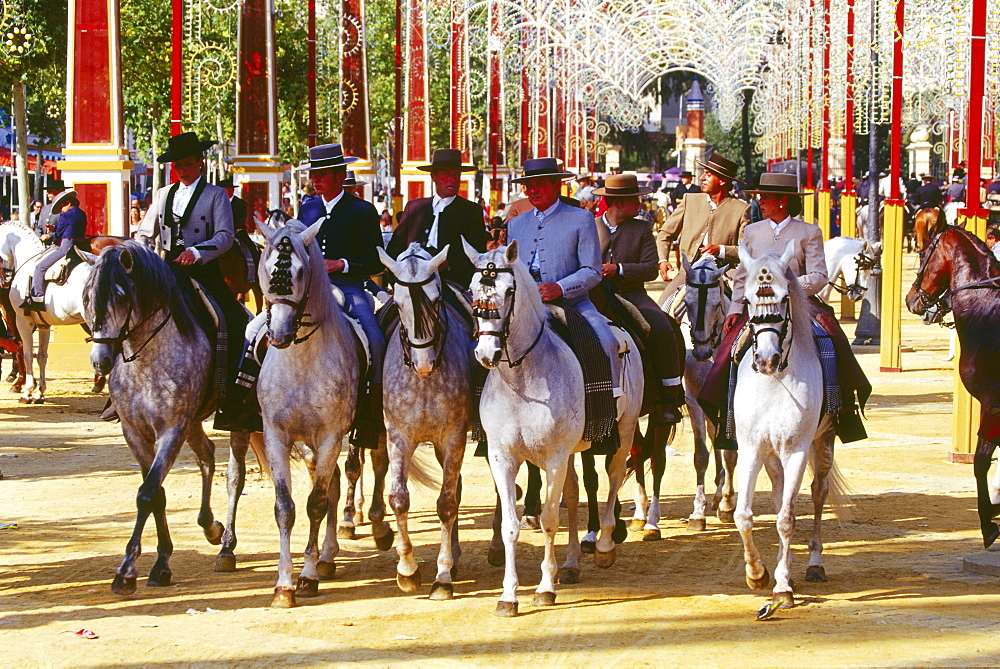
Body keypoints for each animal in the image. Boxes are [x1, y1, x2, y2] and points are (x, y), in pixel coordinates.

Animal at [0, 224, 93, 402]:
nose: (5, 279)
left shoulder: (22, 320)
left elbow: (27, 353)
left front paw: (27, 391)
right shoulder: (43, 325)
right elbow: (42, 356)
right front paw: (39, 392)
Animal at [83, 241, 254, 596]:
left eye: (121, 296)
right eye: (87, 297)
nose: (100, 361)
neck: (145, 361)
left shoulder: (171, 430)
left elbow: (147, 493)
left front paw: (127, 572)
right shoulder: (135, 433)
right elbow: (156, 494)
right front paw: (161, 563)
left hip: (236, 422)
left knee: (235, 476)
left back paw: (226, 547)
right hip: (193, 424)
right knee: (207, 456)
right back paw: (211, 527)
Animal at [378, 243, 472, 596]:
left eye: (436, 299)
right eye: (399, 303)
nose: (423, 363)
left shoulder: (454, 437)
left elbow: (446, 503)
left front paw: (443, 575)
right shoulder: (398, 437)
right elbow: (398, 499)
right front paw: (407, 569)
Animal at [732, 243, 840, 612]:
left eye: (783, 298)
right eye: (748, 298)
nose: (766, 359)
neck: (774, 383)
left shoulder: (797, 451)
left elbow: (786, 518)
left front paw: (781, 587)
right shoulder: (751, 450)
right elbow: (744, 516)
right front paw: (756, 574)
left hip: (823, 444)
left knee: (818, 493)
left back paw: (814, 564)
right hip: (771, 456)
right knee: (781, 496)